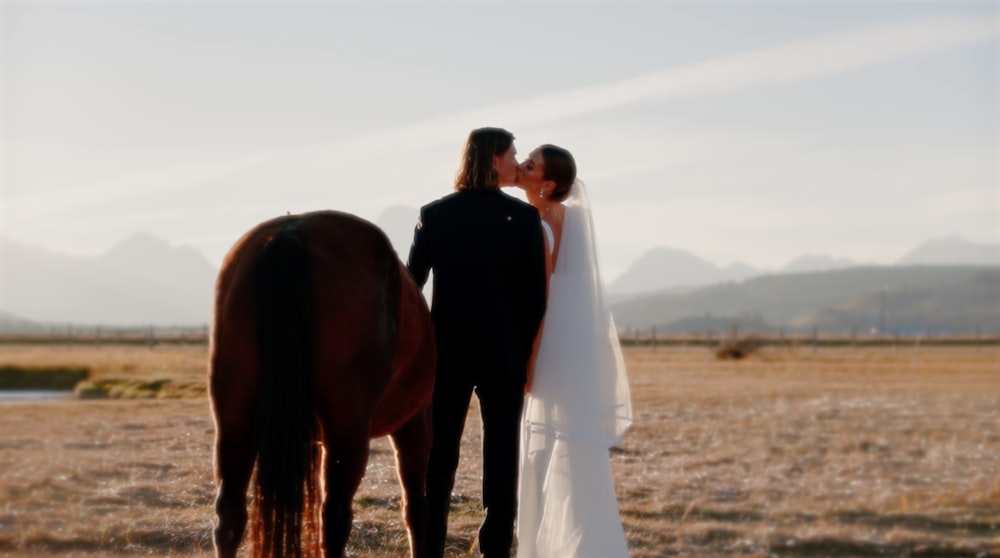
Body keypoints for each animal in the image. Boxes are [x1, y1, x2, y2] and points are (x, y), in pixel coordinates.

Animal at [207, 211, 434, 558]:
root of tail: (290, 233)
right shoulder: (414, 424)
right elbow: (416, 508)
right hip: (348, 432)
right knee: (335, 517)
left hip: (234, 423)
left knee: (230, 515)